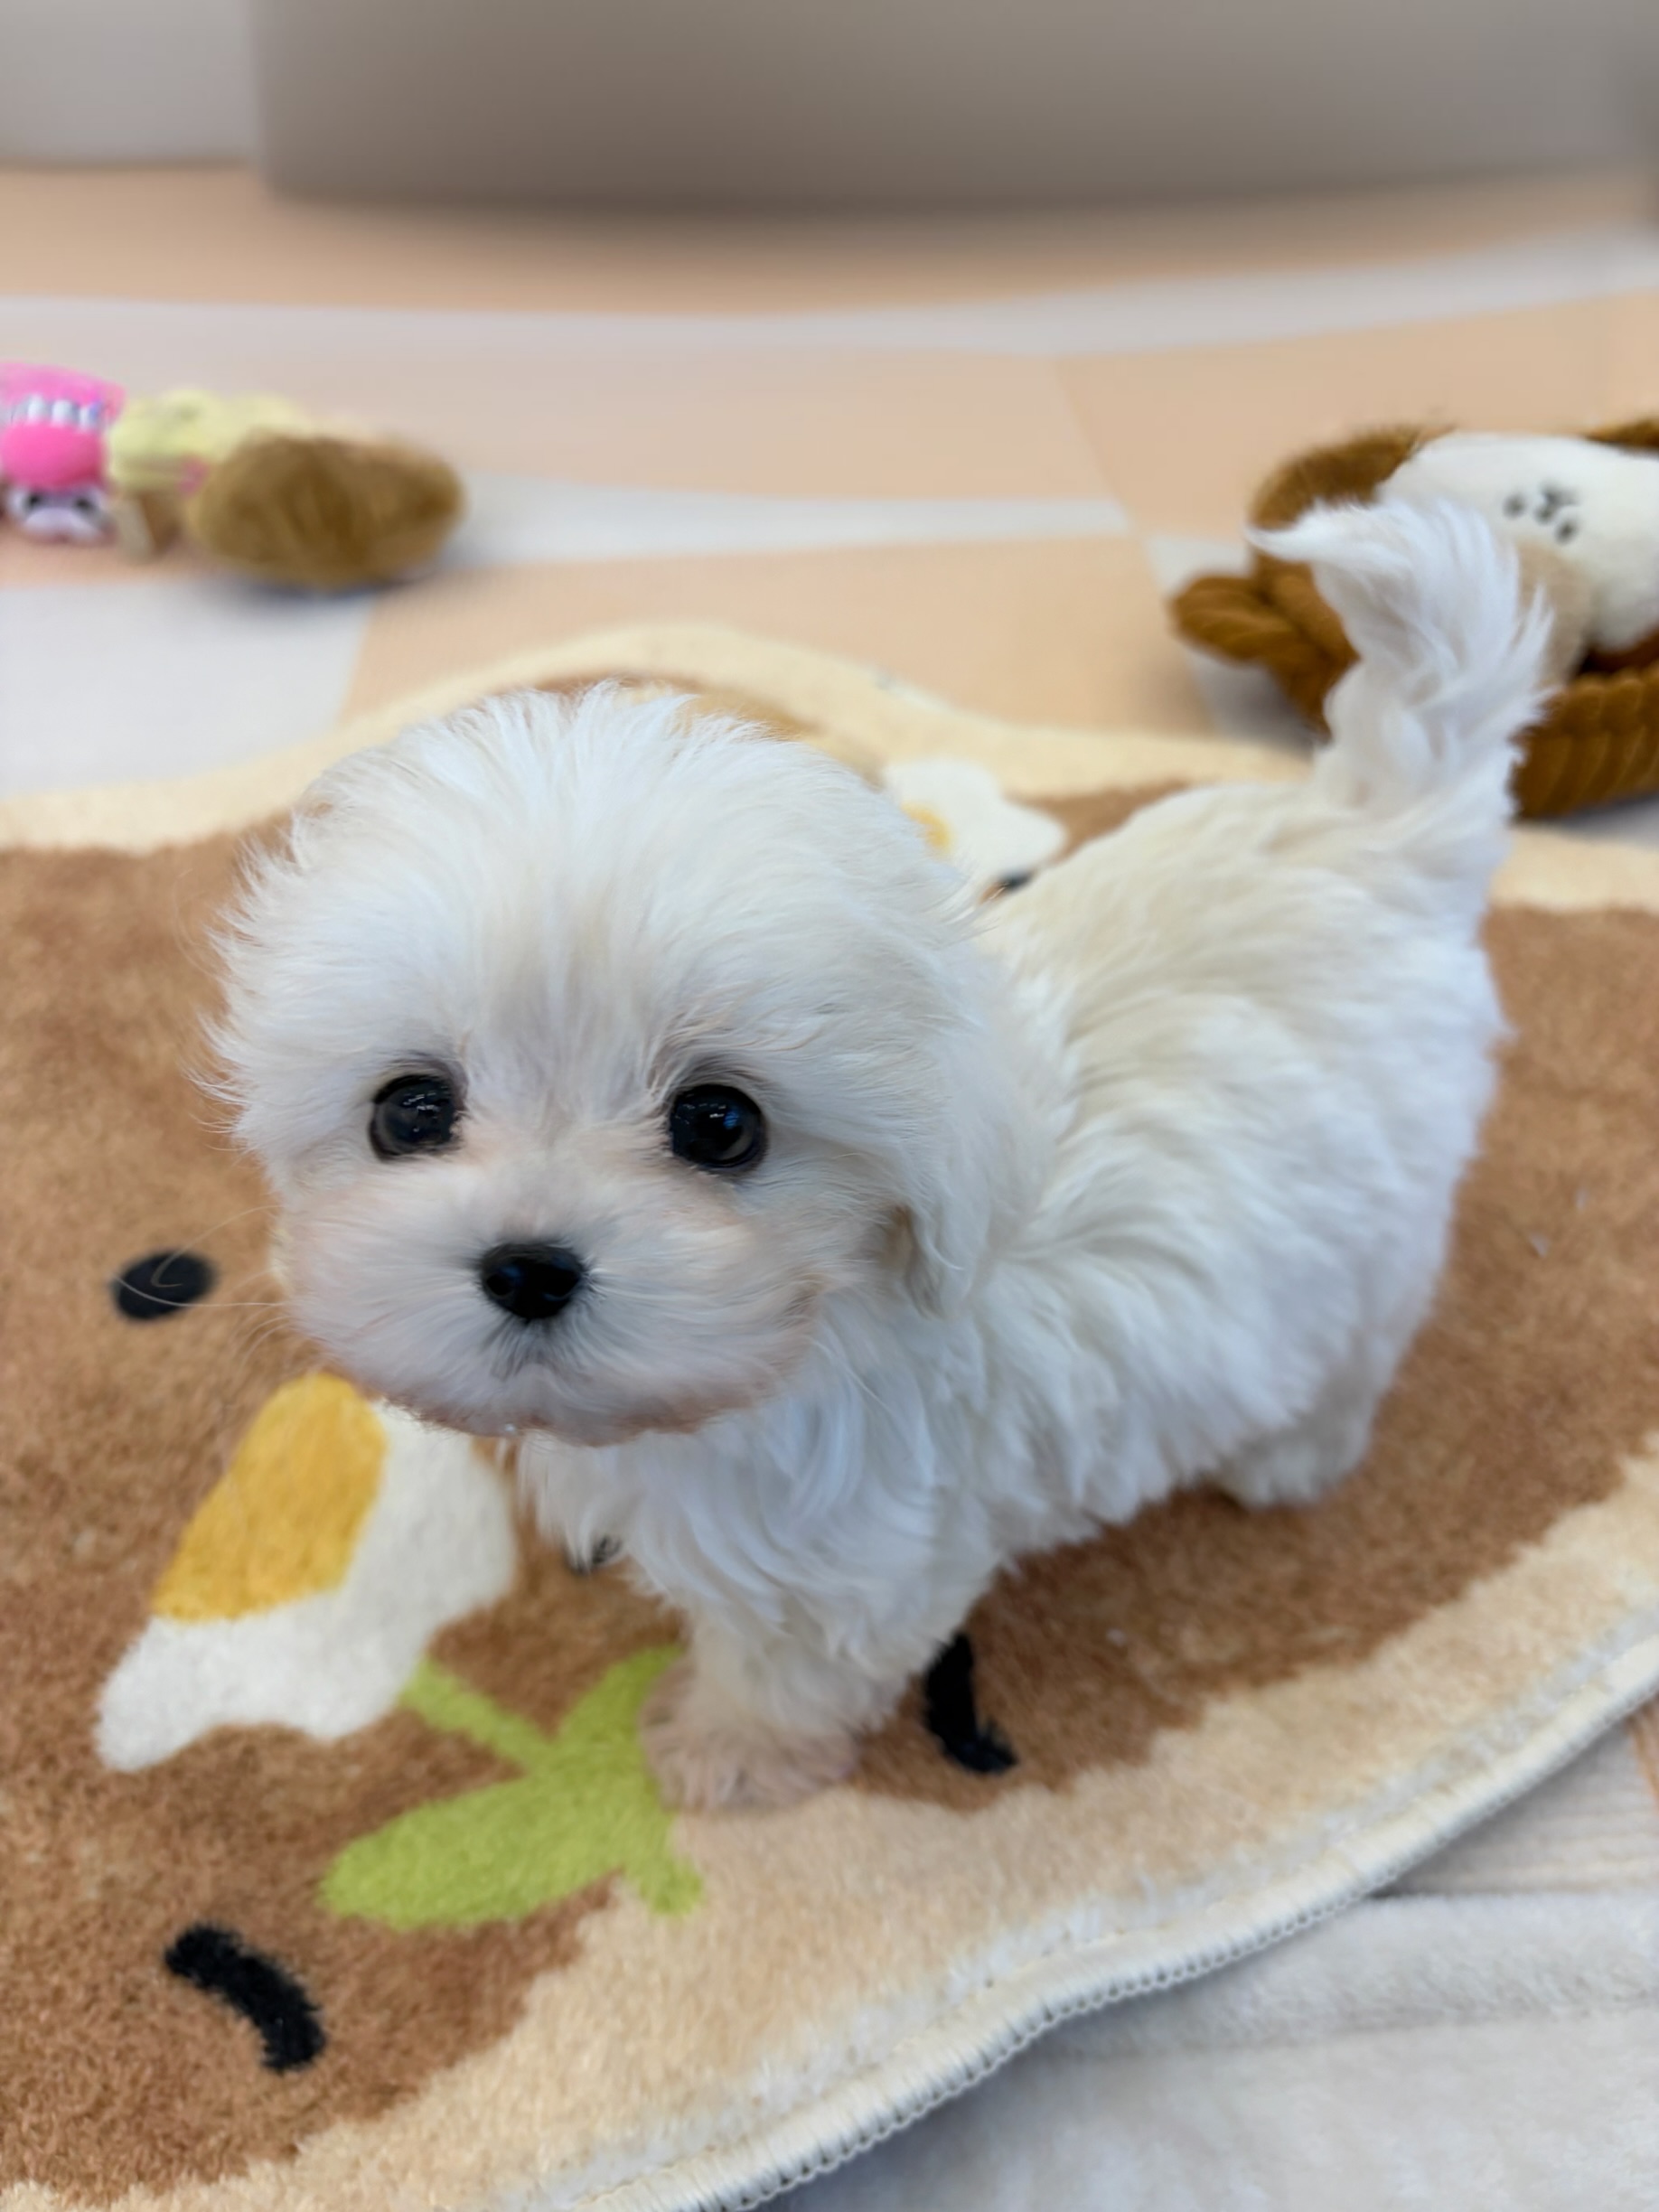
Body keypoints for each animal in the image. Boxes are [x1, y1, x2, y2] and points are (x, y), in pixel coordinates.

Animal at [215, 499, 1546, 1811]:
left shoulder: (852, 1556)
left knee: (1360, 1340)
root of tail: (1374, 825)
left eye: (719, 1125)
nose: (529, 1267)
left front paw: (725, 1753)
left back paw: (1293, 1454)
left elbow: (789, 1669)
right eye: (408, 1113)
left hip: (1378, 1221)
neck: (821, 1327)